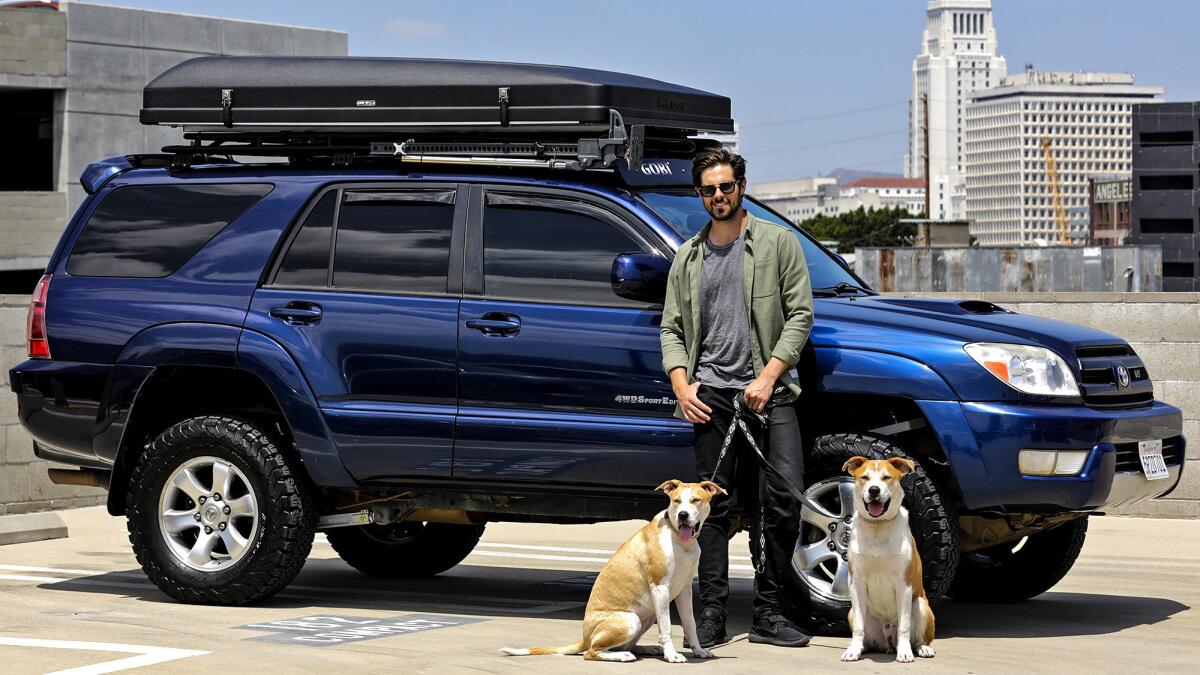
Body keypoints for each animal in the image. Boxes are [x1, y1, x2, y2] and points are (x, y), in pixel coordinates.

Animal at [501, 478, 724, 662]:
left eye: (696, 500)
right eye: (676, 501)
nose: (683, 515)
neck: (678, 539)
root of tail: (584, 637)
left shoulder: (684, 590)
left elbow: (690, 624)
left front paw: (698, 651)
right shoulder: (660, 588)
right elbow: (667, 627)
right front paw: (672, 655)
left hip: (647, 617)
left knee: (622, 646)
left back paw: (647, 648)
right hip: (630, 620)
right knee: (592, 652)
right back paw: (623, 656)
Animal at [835, 454, 936, 658]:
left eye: (887, 477)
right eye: (864, 477)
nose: (874, 490)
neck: (878, 526)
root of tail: (887, 642)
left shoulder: (903, 583)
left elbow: (904, 626)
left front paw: (904, 653)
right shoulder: (857, 582)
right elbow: (858, 626)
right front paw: (853, 650)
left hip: (920, 604)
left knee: (918, 637)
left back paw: (922, 648)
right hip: (852, 612)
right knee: (863, 630)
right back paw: (861, 647)